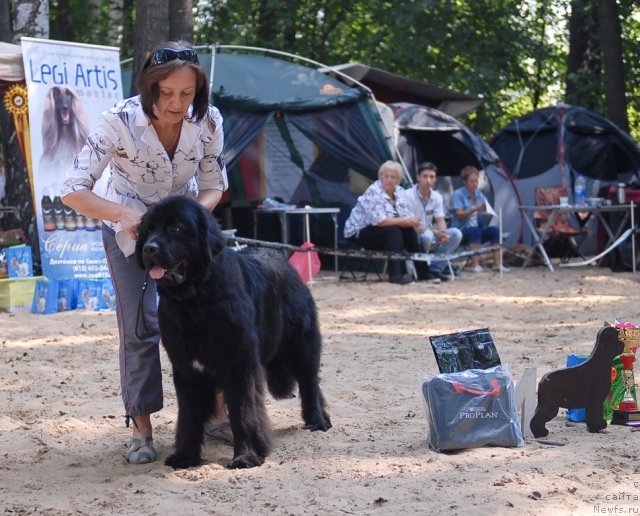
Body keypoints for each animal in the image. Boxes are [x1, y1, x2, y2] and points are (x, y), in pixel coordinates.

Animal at [137, 196, 332, 470]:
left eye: (175, 228)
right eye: (148, 231)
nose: (149, 249)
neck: (195, 302)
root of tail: (285, 262)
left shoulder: (239, 365)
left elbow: (243, 411)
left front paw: (246, 456)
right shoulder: (186, 368)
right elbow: (188, 415)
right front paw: (185, 456)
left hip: (301, 345)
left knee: (309, 381)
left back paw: (317, 420)